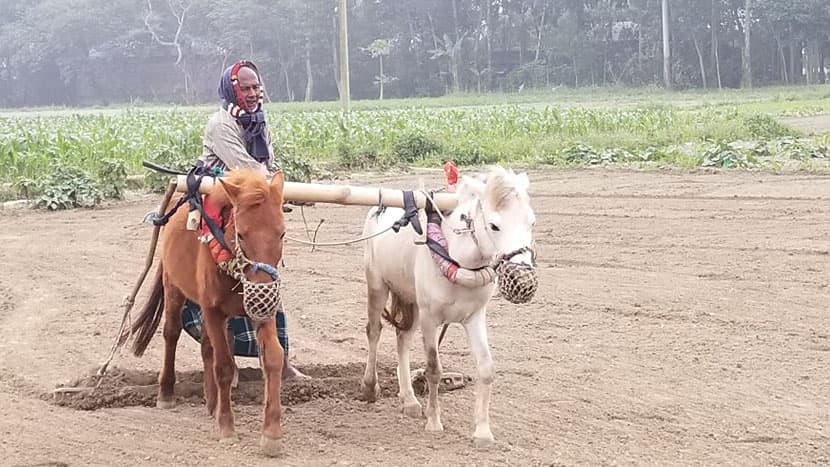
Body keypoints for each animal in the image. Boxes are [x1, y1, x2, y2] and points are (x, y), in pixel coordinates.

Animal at [128, 169, 288, 458]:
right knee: (172, 334)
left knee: (207, 347)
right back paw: (166, 393)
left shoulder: (261, 308)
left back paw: (212, 403)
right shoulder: (212, 309)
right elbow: (223, 366)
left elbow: (272, 358)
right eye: (242, 234)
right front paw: (226, 428)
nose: (263, 287)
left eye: (281, 234)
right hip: (173, 286)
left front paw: (271, 433)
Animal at [360, 167, 536, 446]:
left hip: (412, 300)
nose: (523, 278)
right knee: (374, 331)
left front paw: (483, 431)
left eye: (531, 222)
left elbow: (486, 367)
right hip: (378, 286)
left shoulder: (474, 317)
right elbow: (433, 369)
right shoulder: (430, 319)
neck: (456, 256)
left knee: (403, 339)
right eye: (494, 225)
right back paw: (369, 387)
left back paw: (409, 400)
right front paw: (433, 422)